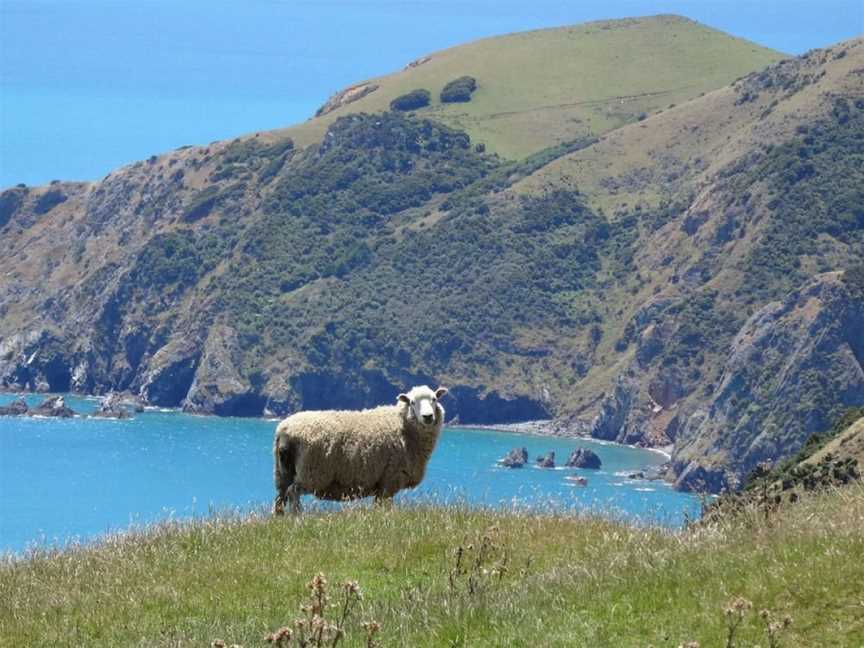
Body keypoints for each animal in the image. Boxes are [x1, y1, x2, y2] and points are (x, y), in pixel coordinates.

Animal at [274, 384, 448, 516]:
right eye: (412, 402)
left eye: (434, 399)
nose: (428, 416)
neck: (403, 425)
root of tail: (285, 430)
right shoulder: (390, 479)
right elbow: (385, 507)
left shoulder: (382, 484)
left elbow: (378, 506)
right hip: (312, 472)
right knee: (293, 492)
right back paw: (297, 517)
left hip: (283, 471)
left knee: (281, 496)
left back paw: (280, 518)